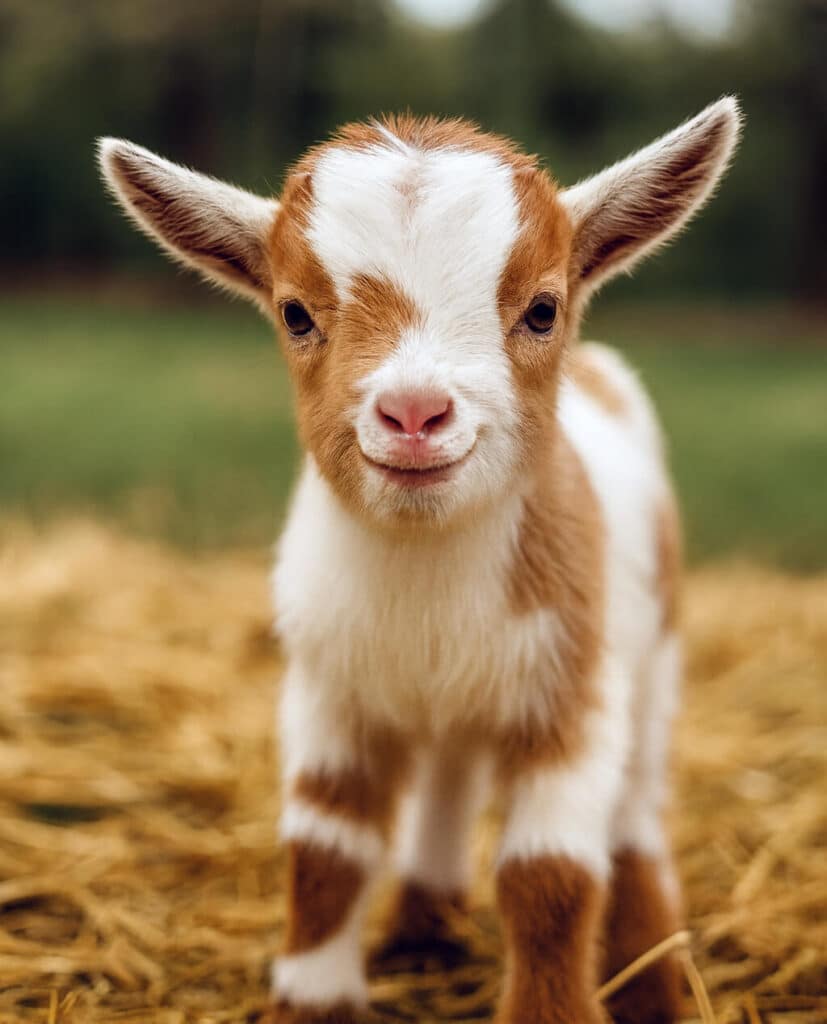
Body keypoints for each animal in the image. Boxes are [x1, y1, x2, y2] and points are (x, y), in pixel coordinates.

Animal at [99, 98, 741, 1024]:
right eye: (295, 313)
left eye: (541, 309)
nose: (412, 413)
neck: (425, 566)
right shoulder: (330, 690)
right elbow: (324, 853)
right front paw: (315, 1001)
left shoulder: (570, 693)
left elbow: (549, 876)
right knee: (448, 776)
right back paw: (424, 925)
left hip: (653, 652)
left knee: (637, 807)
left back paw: (653, 976)